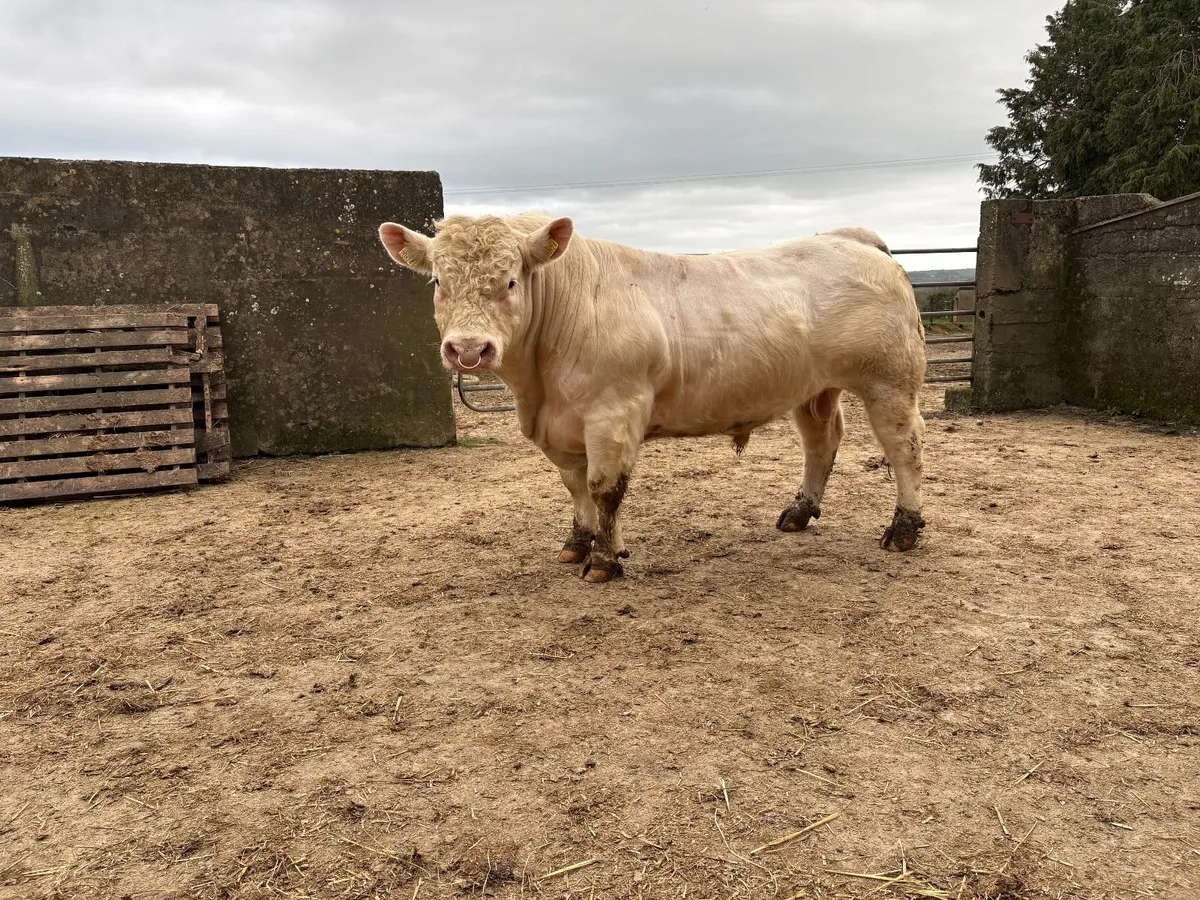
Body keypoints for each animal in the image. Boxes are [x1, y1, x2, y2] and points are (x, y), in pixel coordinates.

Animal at [378, 213, 927, 583]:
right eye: (438, 281)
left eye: (510, 281)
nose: (469, 349)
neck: (539, 389)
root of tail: (851, 238)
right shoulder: (563, 426)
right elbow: (575, 487)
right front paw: (577, 544)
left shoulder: (613, 412)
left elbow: (604, 489)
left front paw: (604, 560)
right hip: (814, 388)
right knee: (822, 440)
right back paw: (799, 512)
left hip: (890, 380)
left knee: (905, 448)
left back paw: (904, 529)